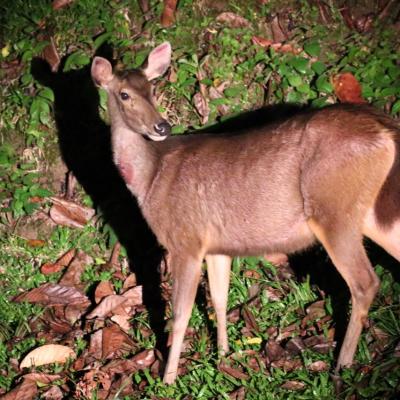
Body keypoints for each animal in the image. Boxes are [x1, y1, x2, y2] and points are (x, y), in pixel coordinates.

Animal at [90, 41, 400, 384]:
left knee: (364, 283)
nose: (162, 126)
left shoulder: (184, 240)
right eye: (125, 94)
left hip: (334, 211)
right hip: (373, 214)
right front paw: (223, 354)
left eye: (152, 88)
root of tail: (386, 130)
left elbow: (181, 313)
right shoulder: (217, 246)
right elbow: (219, 298)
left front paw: (168, 378)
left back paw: (341, 366)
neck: (151, 178)